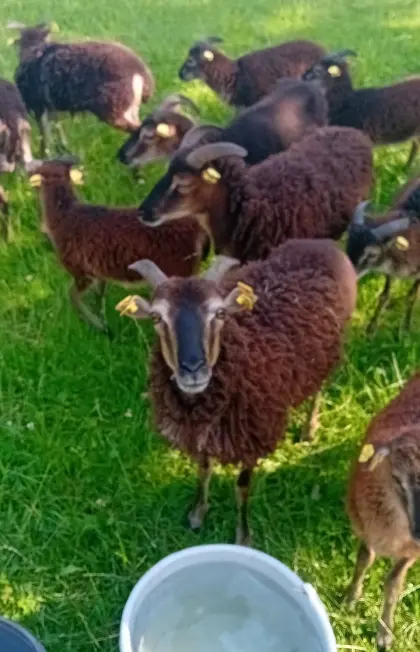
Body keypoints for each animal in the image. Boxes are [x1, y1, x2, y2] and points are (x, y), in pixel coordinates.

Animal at [9, 22, 155, 156]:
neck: (33, 52)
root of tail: (142, 74)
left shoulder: (37, 107)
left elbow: (44, 137)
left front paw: (44, 155)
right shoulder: (52, 109)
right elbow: (57, 131)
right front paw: (62, 150)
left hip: (113, 107)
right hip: (130, 108)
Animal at [26, 156, 208, 334]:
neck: (62, 216)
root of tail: (197, 226)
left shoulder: (80, 271)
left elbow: (72, 296)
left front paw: (98, 325)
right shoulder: (98, 272)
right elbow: (99, 296)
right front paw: (104, 322)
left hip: (179, 269)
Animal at [116, 238, 357, 544]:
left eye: (220, 313)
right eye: (156, 317)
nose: (193, 369)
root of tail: (320, 243)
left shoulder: (254, 434)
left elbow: (241, 487)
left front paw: (243, 535)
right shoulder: (203, 434)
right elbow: (204, 469)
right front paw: (197, 513)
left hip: (330, 351)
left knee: (318, 389)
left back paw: (309, 429)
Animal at [346, 178, 420, 334]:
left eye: (372, 254)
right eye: (349, 244)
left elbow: (412, 296)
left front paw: (405, 329)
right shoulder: (390, 270)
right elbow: (384, 295)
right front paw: (370, 330)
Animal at [346, 371, 420, 650]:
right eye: (397, 479)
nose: (419, 532)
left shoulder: (412, 551)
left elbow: (393, 584)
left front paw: (384, 634)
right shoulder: (365, 528)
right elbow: (364, 559)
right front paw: (350, 599)